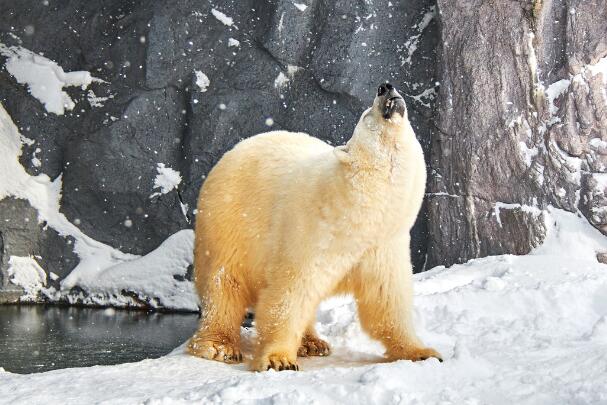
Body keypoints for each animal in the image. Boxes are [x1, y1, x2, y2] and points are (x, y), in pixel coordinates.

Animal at [186, 81, 442, 370]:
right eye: (367, 116)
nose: (385, 87)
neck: (357, 217)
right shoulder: (312, 234)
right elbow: (289, 293)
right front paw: (279, 360)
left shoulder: (382, 246)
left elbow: (386, 300)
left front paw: (423, 352)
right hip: (227, 226)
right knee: (224, 284)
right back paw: (219, 346)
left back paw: (312, 343)